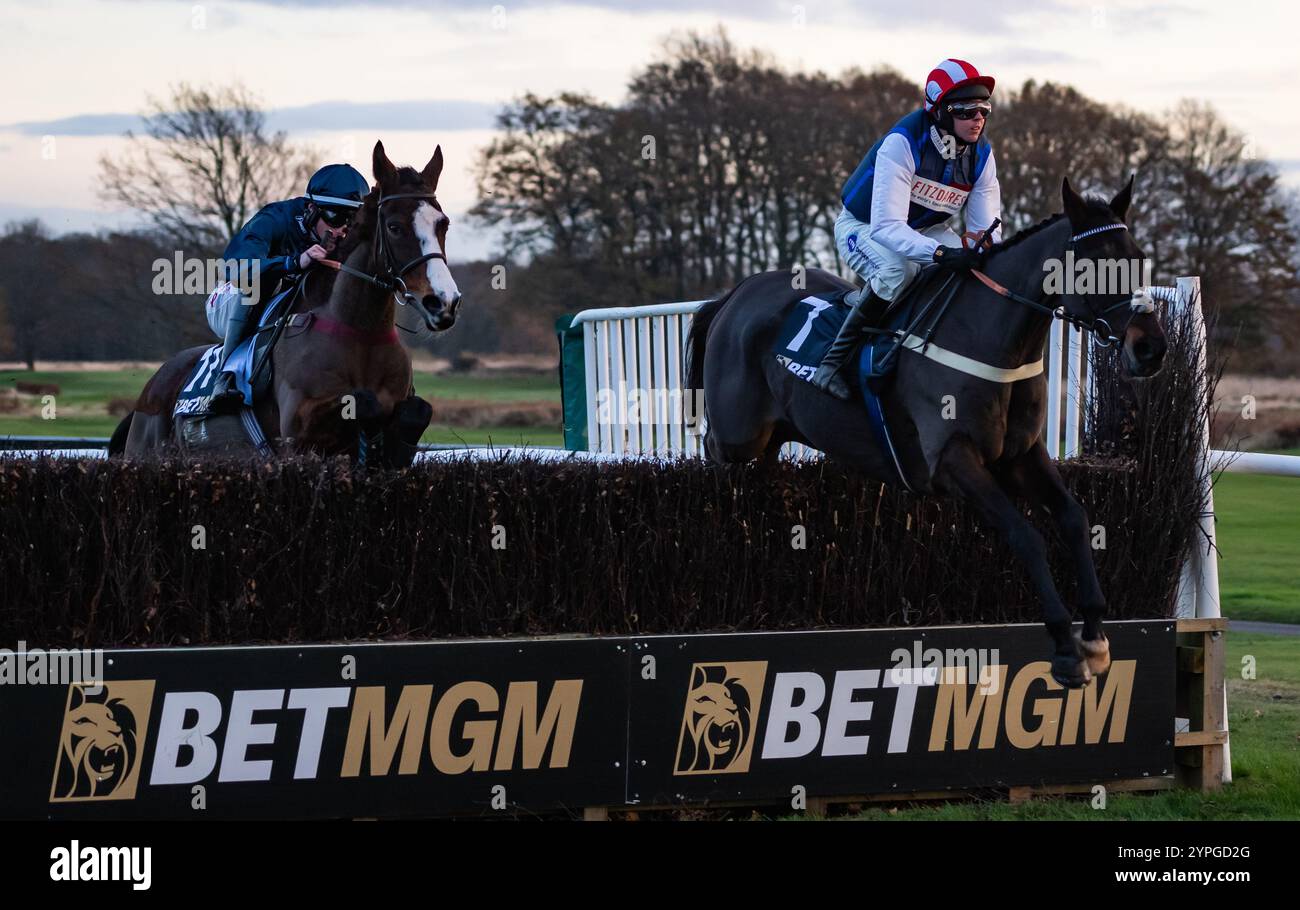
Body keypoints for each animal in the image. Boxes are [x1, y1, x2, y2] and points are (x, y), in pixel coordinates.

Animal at [110, 143, 462, 467]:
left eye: (442, 224)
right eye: (394, 227)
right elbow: (363, 403)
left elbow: (417, 412)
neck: (361, 332)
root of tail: (151, 388)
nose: (443, 302)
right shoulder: (299, 430)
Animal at [691, 175, 1170, 691]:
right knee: (714, 451)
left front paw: (1095, 637)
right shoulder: (952, 460)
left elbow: (1075, 519)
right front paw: (1064, 647)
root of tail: (736, 293)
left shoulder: (1022, 455)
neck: (989, 337)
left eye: (1139, 257)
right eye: (1091, 265)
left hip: (771, 441)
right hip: (738, 437)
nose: (1151, 348)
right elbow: (1025, 535)